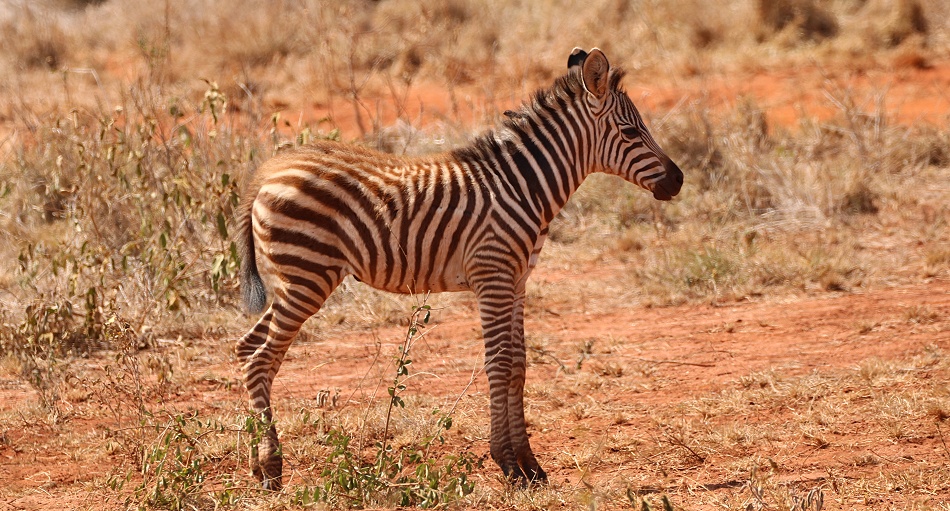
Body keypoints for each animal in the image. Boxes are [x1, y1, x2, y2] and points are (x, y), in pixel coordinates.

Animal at [236, 47, 683, 490]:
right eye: (630, 132)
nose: (677, 181)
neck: (523, 188)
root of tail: (266, 175)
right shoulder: (493, 276)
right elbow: (499, 364)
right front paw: (509, 464)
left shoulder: (517, 280)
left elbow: (518, 364)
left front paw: (531, 466)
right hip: (308, 276)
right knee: (261, 358)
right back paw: (272, 468)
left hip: (294, 280)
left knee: (246, 350)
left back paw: (257, 463)